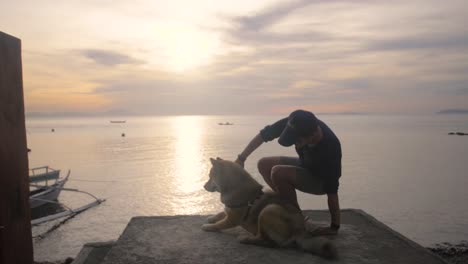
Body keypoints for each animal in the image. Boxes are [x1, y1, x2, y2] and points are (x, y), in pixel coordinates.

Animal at [201, 158, 336, 258]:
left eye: (210, 176)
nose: (203, 186)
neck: (233, 186)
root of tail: (301, 230)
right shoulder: (230, 209)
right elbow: (221, 213)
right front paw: (211, 218)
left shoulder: (233, 219)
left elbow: (219, 224)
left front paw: (208, 226)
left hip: (268, 210)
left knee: (268, 242)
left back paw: (246, 238)